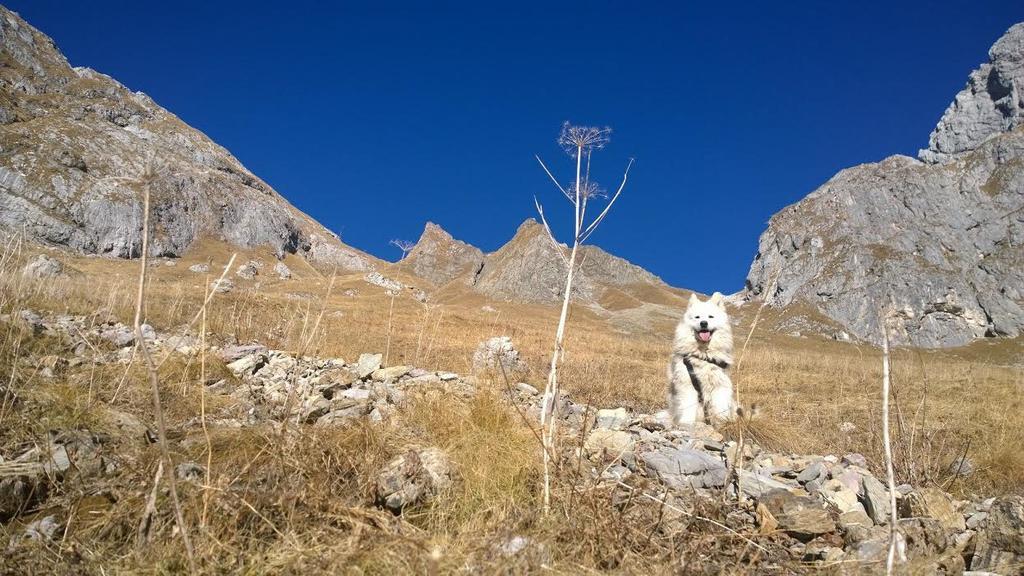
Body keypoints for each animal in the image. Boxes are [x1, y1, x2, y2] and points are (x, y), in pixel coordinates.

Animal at [667, 293, 733, 424]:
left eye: (710, 317)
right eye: (697, 317)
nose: (703, 323)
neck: (703, 355)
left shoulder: (720, 385)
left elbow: (720, 408)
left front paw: (722, 423)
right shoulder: (687, 384)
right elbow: (688, 408)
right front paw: (686, 423)